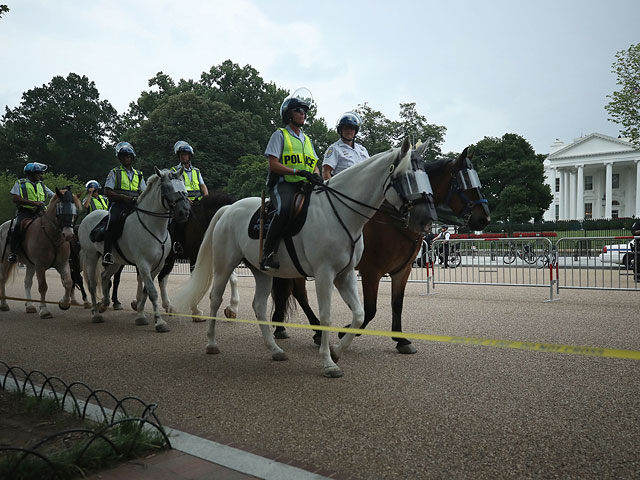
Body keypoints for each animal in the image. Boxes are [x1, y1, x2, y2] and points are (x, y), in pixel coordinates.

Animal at [0, 188, 82, 318]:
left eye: (75, 210)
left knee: (27, 282)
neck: (52, 236)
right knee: (3, 279)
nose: (69, 234)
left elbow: (68, 282)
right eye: (60, 209)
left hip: (30, 265)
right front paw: (44, 310)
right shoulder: (40, 266)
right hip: (4, 261)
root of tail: (3, 225)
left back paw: (30, 306)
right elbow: (43, 286)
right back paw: (4, 304)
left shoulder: (63, 264)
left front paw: (64, 303)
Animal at [77, 167, 190, 332]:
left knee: (104, 277)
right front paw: (159, 322)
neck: (154, 227)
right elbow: (152, 292)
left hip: (116, 261)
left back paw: (104, 304)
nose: (185, 212)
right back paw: (96, 314)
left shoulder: (158, 265)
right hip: (91, 256)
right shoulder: (143, 264)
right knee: (92, 284)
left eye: (184, 189)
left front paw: (141, 315)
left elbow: (146, 290)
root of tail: (89, 216)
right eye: (168, 189)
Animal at [172, 137, 438, 376]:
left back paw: (275, 350)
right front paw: (328, 362)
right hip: (224, 265)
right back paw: (211, 343)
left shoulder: (346, 275)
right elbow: (327, 316)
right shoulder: (326, 274)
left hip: (261, 271)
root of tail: (229, 209)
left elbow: (359, 314)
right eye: (406, 177)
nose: (427, 219)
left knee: (259, 306)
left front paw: (337, 350)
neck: (342, 213)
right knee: (215, 298)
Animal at [272, 145, 490, 352]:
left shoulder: (402, 270)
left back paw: (287, 327)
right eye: (464, 181)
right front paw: (346, 331)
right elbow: (370, 309)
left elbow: (397, 304)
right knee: (299, 293)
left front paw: (401, 340)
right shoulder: (371, 271)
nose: (484, 218)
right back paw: (314, 330)